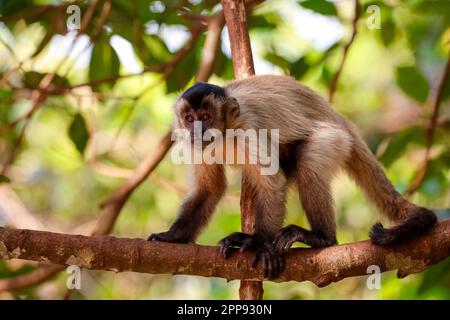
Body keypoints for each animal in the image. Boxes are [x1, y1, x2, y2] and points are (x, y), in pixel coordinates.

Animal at [148, 75, 436, 278]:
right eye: (189, 119)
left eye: (206, 117)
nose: (197, 130)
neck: (226, 134)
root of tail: (342, 121)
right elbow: (210, 188)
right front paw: (174, 236)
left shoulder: (247, 129)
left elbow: (271, 182)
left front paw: (259, 242)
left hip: (334, 139)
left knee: (309, 164)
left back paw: (321, 238)